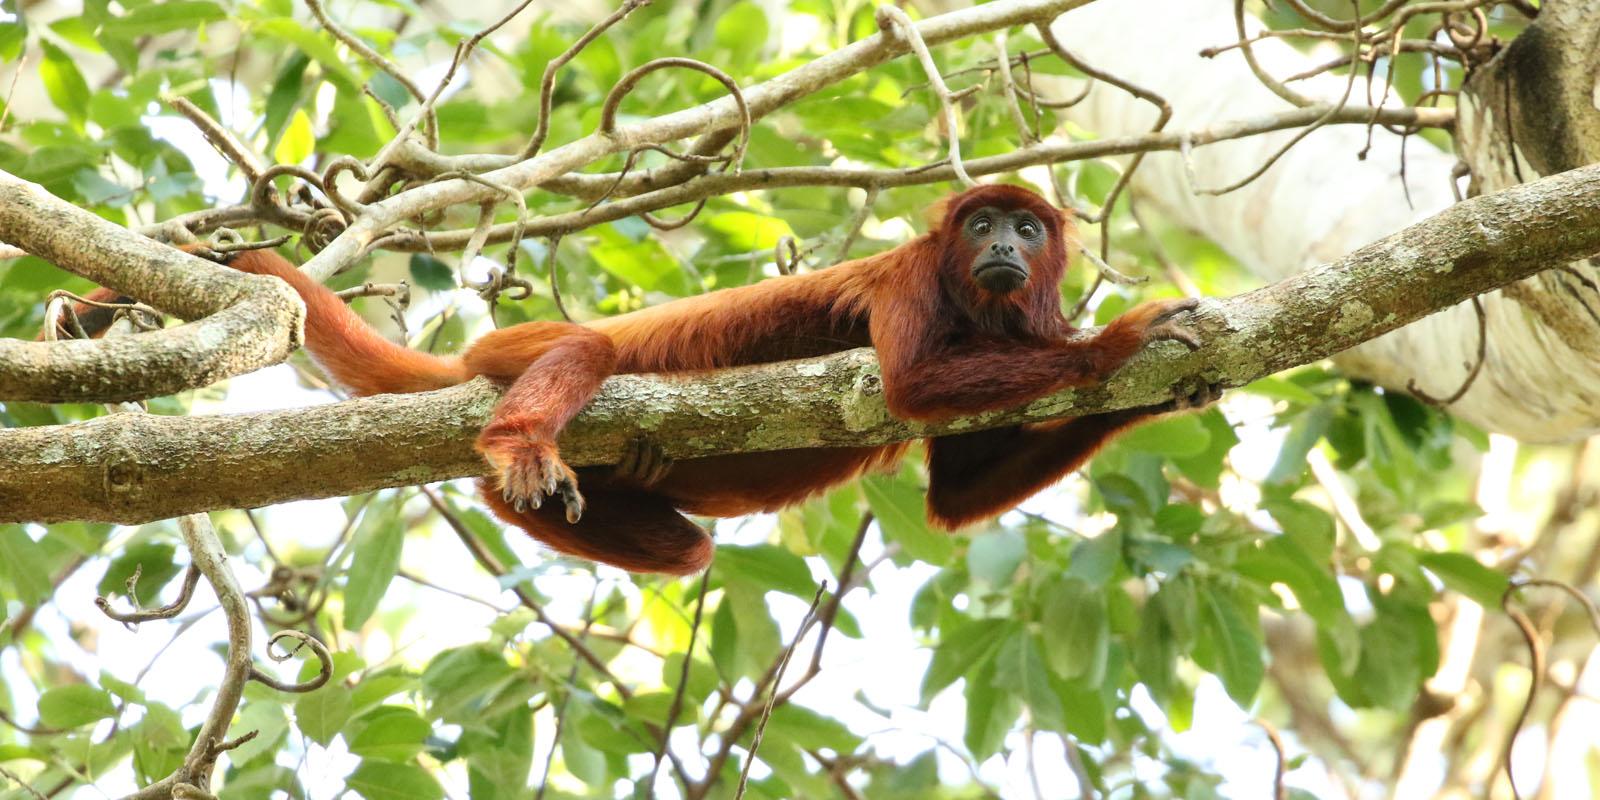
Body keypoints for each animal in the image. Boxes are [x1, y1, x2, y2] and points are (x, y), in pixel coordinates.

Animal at [68, 185, 1209, 576]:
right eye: (980, 226)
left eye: (1029, 228)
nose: (1007, 242)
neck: (989, 304)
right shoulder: (911, 277)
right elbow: (917, 382)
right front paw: (1124, 341)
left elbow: (957, 497)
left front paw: (1163, 389)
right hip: (516, 348)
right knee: (587, 357)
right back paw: (517, 445)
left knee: (690, 546)